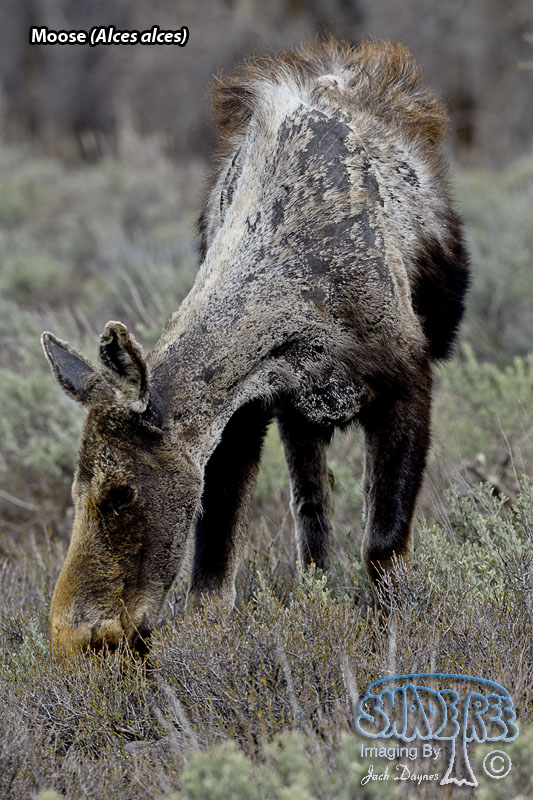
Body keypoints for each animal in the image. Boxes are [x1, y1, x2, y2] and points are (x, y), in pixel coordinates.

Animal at [42, 37, 469, 656]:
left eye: (120, 492)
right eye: (74, 490)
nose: (77, 636)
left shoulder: (406, 384)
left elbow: (383, 547)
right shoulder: (254, 404)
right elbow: (215, 566)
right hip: (299, 419)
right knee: (313, 515)